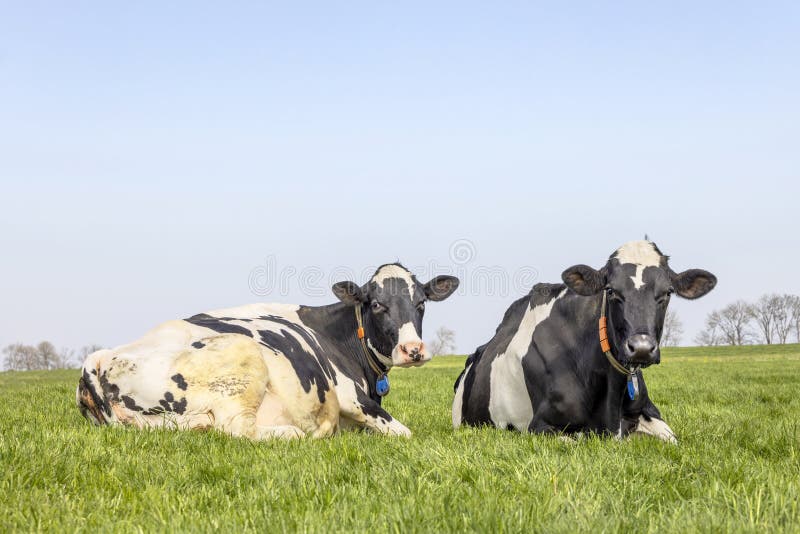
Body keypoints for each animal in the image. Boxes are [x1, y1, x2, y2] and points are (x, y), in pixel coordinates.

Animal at [79, 266, 462, 442]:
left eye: (421, 303)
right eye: (377, 304)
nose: (413, 350)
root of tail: (102, 358)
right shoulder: (349, 397)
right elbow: (404, 432)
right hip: (242, 359)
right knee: (240, 429)